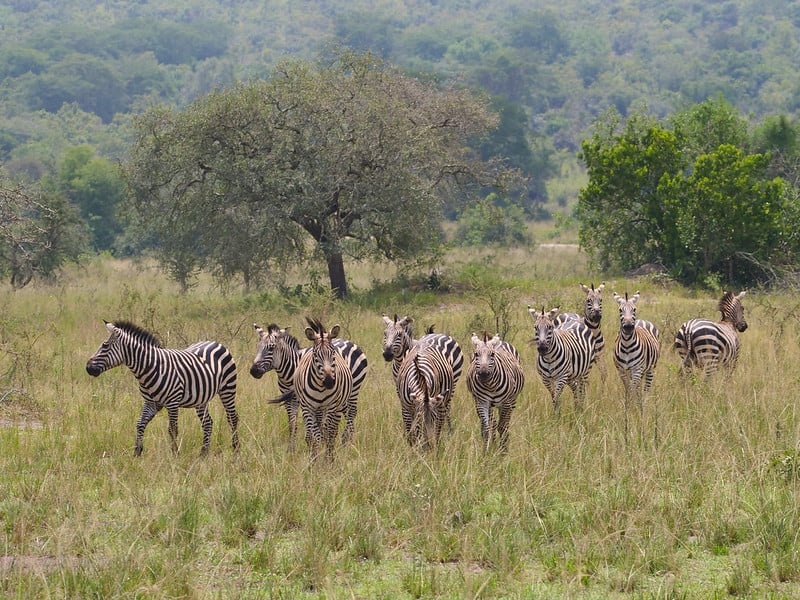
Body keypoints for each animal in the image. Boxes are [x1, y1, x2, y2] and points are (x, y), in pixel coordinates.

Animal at [87, 322, 239, 458]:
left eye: (105, 346)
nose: (88, 368)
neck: (149, 368)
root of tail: (214, 342)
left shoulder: (172, 403)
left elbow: (172, 429)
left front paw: (175, 454)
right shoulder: (151, 403)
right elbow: (140, 423)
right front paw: (137, 452)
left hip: (228, 389)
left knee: (232, 418)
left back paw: (235, 449)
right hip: (201, 397)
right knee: (207, 423)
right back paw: (203, 453)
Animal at [292, 316, 354, 462]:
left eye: (333, 353)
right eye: (315, 355)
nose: (329, 382)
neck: (320, 388)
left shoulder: (330, 407)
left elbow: (326, 433)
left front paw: (326, 460)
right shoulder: (307, 407)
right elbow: (314, 435)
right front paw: (314, 460)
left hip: (338, 407)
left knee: (332, 432)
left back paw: (330, 457)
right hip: (315, 409)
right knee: (313, 433)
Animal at [616, 292, 660, 436]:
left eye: (634, 309)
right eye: (620, 310)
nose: (629, 327)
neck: (627, 346)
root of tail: (643, 321)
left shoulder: (637, 369)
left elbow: (632, 389)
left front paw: (632, 411)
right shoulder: (621, 371)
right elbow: (629, 389)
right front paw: (628, 408)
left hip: (650, 369)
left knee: (646, 390)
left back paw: (643, 407)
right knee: (638, 388)